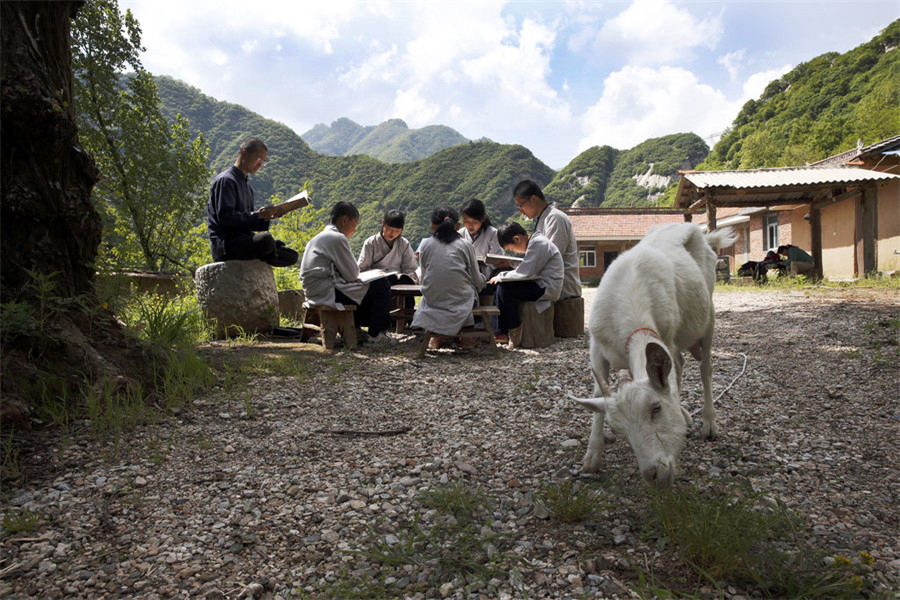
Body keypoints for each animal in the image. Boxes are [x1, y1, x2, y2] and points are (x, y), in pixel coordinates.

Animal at [572, 223, 736, 486]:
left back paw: (709, 423)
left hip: (708, 315)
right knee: (679, 364)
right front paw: (592, 457)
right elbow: (598, 393)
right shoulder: (597, 348)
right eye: (618, 428)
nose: (654, 474)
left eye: (656, 408)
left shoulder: (666, 336)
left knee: (705, 367)